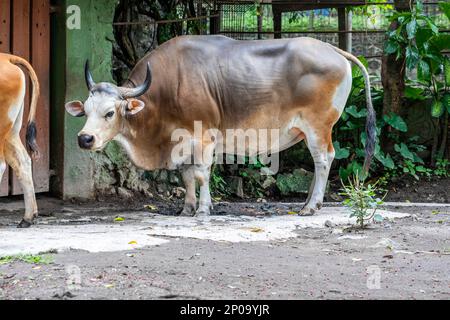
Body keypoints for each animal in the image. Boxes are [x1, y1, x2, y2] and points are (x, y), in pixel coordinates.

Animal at [66, 35, 376, 218]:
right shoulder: (182, 141)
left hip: (318, 126)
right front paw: (187, 208)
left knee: (324, 159)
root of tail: (331, 48)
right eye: (86, 111)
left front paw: (203, 209)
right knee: (319, 162)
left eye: (109, 113)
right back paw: (308, 201)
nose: (85, 139)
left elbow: (202, 173)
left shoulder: (203, 137)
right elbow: (186, 175)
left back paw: (312, 206)